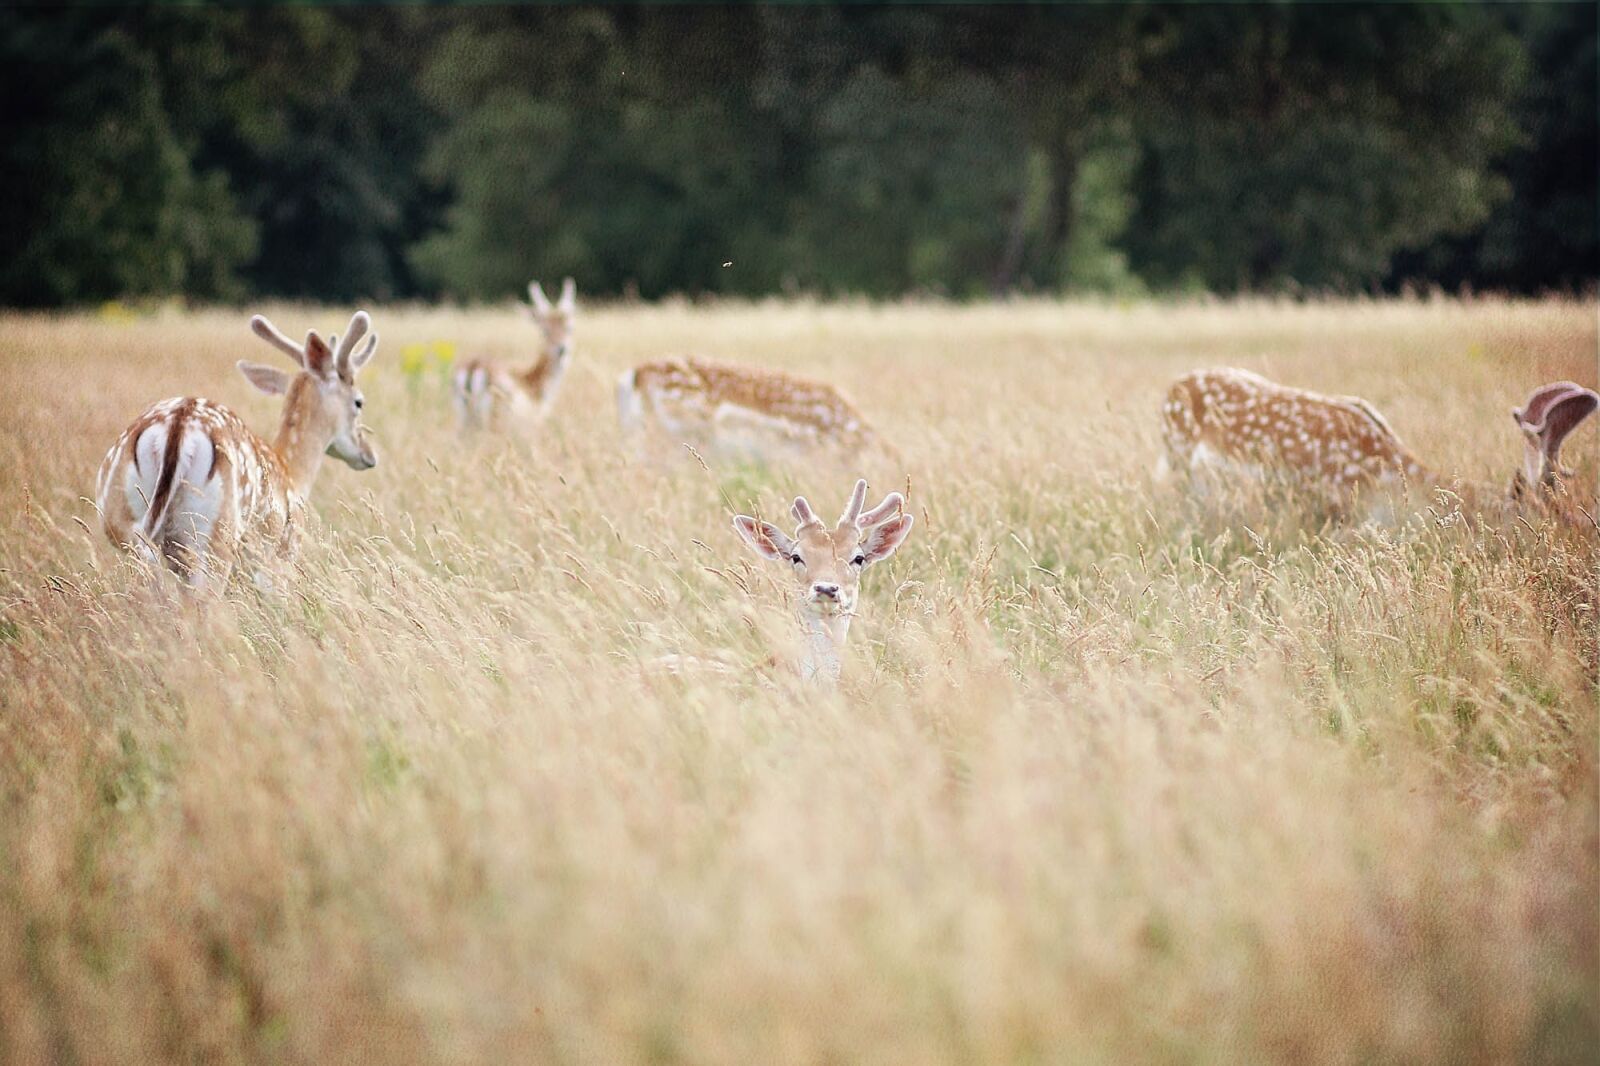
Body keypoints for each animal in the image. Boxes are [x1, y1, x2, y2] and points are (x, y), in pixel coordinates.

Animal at [94, 307, 380, 589]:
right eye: (359, 402)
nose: (369, 454)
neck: (292, 473)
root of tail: (178, 424)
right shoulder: (280, 560)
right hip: (215, 535)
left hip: (120, 520)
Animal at [454, 275, 579, 428]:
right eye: (545, 331)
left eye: (569, 328)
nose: (562, 349)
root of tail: (473, 368)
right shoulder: (532, 425)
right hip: (496, 417)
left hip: (464, 418)